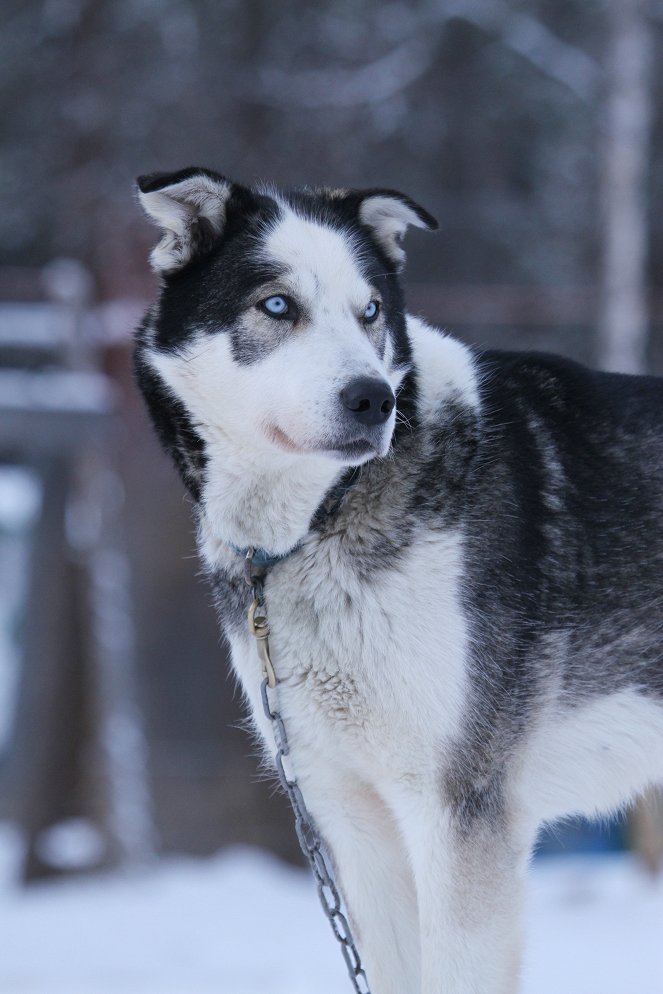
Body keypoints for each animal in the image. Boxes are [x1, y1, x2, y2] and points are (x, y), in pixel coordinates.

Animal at [135, 167, 663, 988]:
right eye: (278, 305)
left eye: (371, 312)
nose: (372, 399)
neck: (321, 519)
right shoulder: (356, 823)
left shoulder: (460, 816)